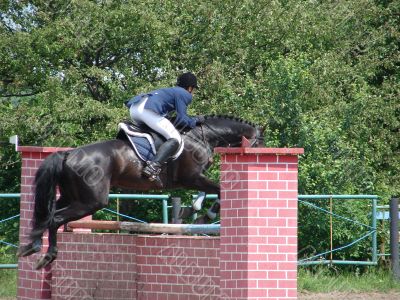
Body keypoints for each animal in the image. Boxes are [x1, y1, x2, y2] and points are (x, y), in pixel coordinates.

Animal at [16, 115, 266, 270]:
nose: (260, 159)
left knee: (47, 215)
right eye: (259, 145)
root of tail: (67, 154)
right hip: (91, 201)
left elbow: (208, 193)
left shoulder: (194, 179)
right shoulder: (191, 178)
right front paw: (206, 216)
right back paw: (48, 255)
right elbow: (218, 191)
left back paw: (32, 247)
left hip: (72, 196)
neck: (200, 136)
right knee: (55, 218)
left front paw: (195, 211)